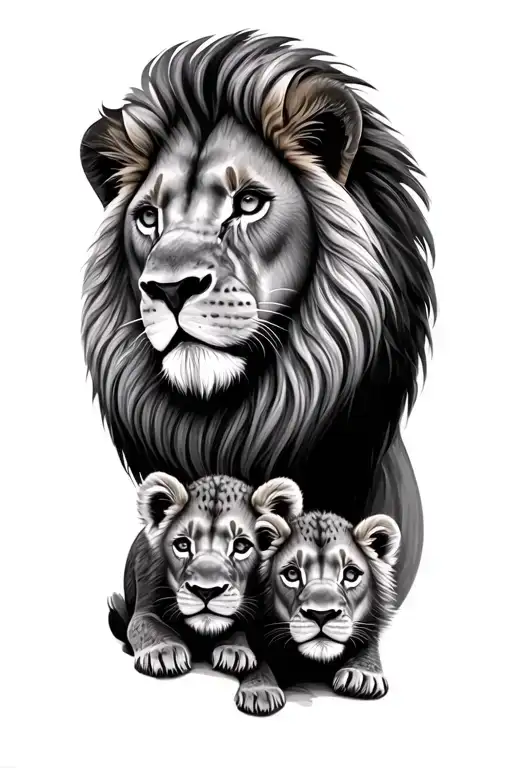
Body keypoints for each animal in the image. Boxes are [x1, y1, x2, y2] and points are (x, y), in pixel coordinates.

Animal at [108, 470, 296, 714]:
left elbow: (254, 649)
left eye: (241, 546)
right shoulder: (144, 609)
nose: (206, 592)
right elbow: (146, 626)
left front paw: (250, 674)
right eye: (182, 545)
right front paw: (164, 652)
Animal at [236, 488, 401, 710]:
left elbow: (369, 643)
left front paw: (363, 674)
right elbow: (257, 658)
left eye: (350, 575)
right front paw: (259, 690)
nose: (321, 615)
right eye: (292, 574)